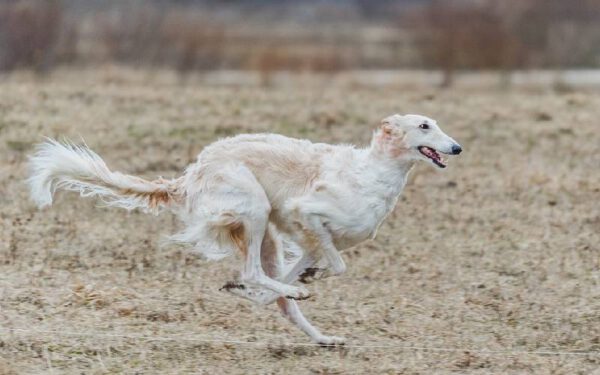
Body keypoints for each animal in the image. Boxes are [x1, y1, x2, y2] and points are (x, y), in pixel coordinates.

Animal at [28, 114, 462, 346]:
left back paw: (320, 334)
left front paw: (291, 283)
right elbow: (336, 266)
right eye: (425, 125)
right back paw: (284, 292)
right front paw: (298, 283)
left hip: (267, 233)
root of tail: (191, 174)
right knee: (253, 271)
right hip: (255, 209)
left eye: (436, 124)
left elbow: (303, 273)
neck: (373, 174)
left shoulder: (312, 239)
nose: (456, 148)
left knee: (278, 297)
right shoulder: (306, 213)